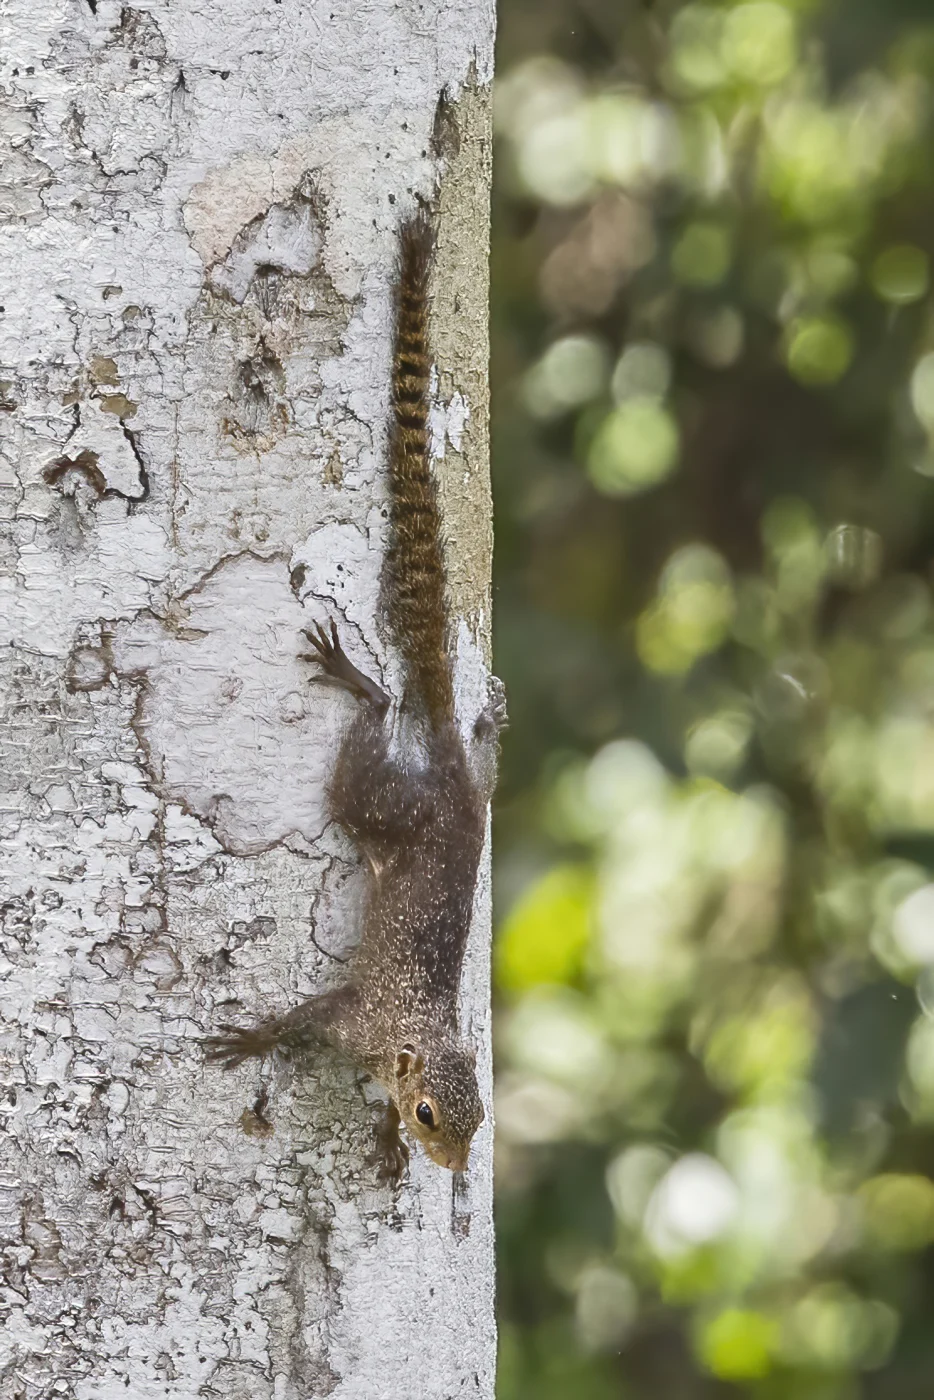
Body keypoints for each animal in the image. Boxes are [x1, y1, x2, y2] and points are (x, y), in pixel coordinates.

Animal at [204, 210, 506, 1180]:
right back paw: (366, 684)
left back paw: (485, 724)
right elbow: (305, 1021)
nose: (452, 1166)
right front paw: (256, 1040)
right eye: (430, 1111)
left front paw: (382, 1144)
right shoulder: (354, 1018)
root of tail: (452, 789)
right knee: (373, 736)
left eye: (478, 1119)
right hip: (384, 804)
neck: (409, 1036)